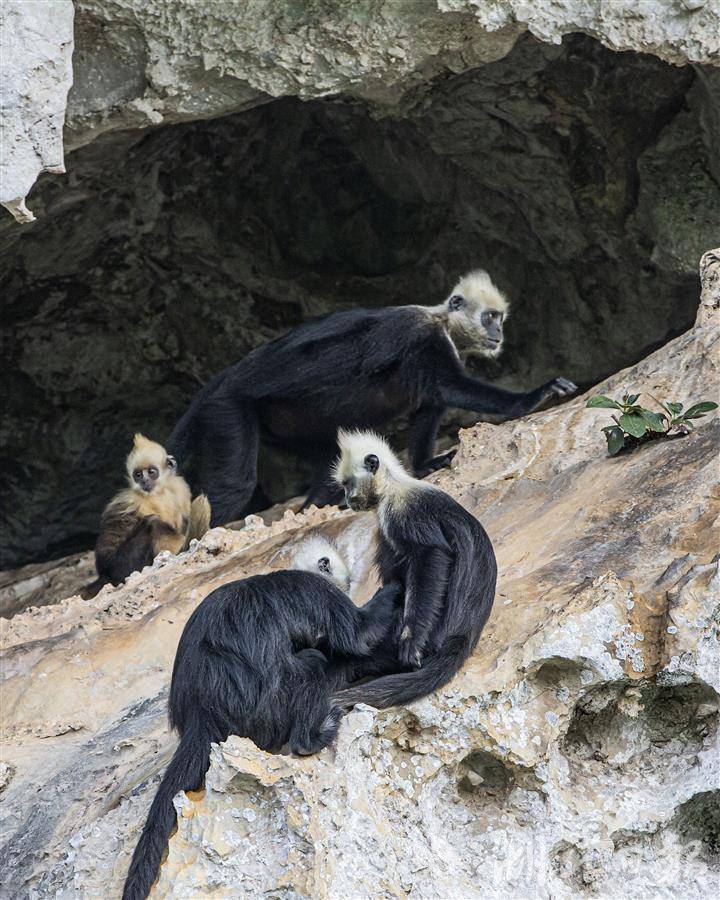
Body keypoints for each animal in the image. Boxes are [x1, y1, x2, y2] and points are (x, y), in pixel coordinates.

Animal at [82, 434, 211, 596]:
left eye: (151, 472)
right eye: (137, 474)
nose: (143, 480)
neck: (157, 494)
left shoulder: (179, 487)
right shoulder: (127, 503)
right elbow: (105, 557)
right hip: (124, 569)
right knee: (153, 521)